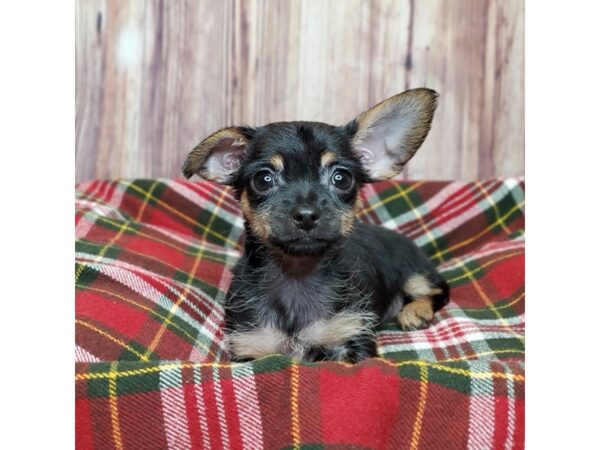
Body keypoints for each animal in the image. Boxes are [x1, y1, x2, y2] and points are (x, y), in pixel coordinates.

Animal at [183, 88, 450, 362]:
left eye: (341, 178)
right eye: (263, 179)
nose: (306, 214)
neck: (297, 272)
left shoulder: (352, 338)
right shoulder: (249, 348)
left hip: (414, 271)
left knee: (438, 290)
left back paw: (415, 311)